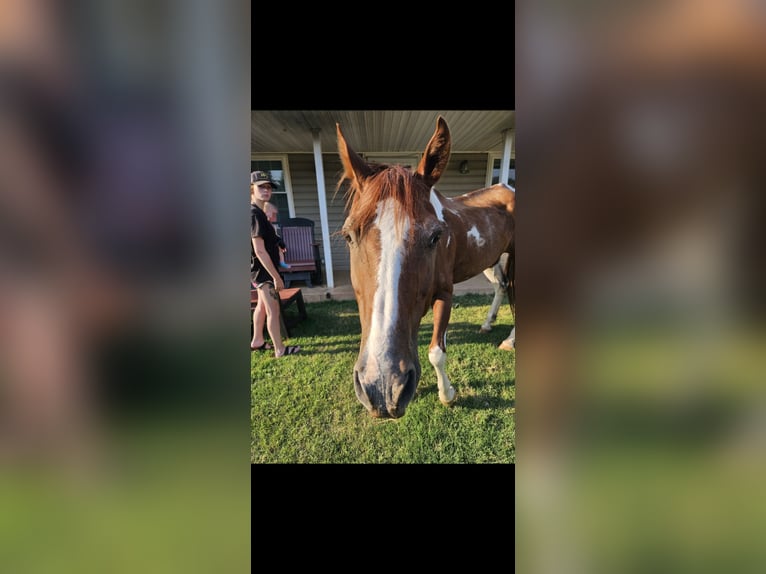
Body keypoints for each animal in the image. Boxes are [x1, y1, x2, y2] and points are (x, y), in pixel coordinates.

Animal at [336, 116, 515, 419]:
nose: (382, 388)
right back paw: (488, 324)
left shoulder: (445, 293)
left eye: (435, 236)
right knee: (501, 287)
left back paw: (511, 341)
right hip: (490, 260)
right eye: (349, 236)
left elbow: (436, 352)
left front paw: (447, 394)